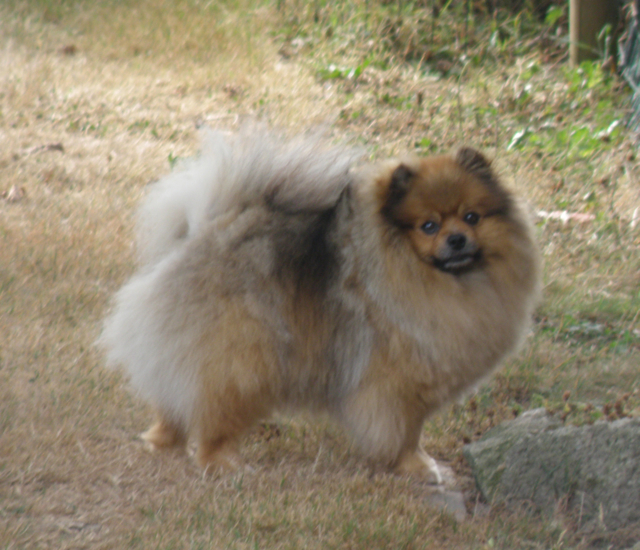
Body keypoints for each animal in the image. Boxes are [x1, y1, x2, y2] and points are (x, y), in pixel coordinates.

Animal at [100, 128, 540, 483]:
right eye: (428, 226)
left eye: (473, 217)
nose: (457, 239)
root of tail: (207, 228)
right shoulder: (397, 387)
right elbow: (405, 432)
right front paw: (416, 466)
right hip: (244, 360)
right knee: (213, 416)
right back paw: (223, 463)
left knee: (172, 400)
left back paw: (163, 441)